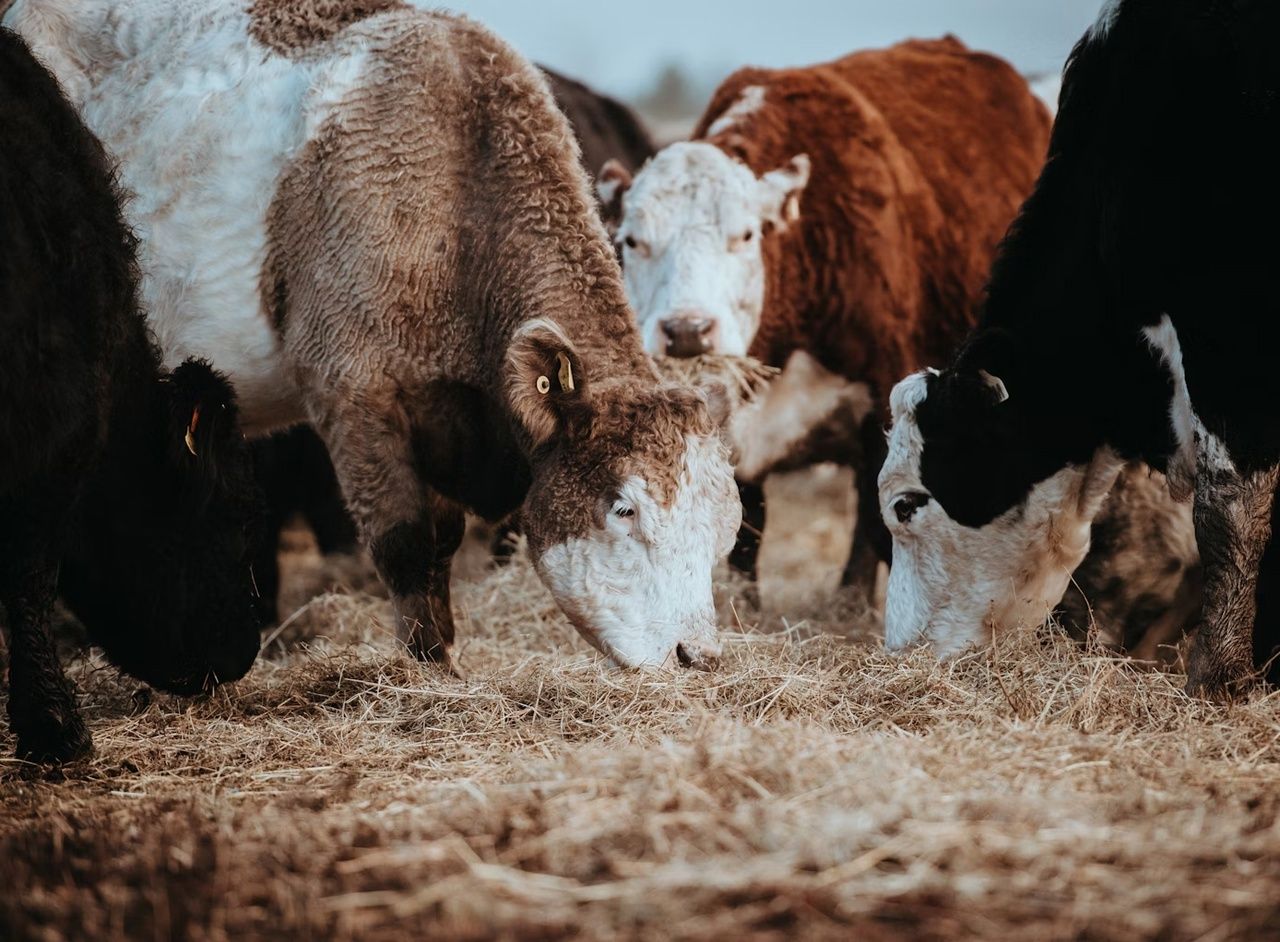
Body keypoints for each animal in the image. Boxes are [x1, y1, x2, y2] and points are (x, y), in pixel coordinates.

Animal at [10, 1, 747, 675]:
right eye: (624, 509)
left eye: (723, 523)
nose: (699, 655)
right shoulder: (352, 393)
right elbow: (405, 542)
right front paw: (430, 672)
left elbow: (441, 541)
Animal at [599, 40, 1049, 596]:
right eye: (632, 240)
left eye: (745, 235)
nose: (686, 331)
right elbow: (745, 529)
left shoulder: (885, 405)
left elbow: (882, 524)